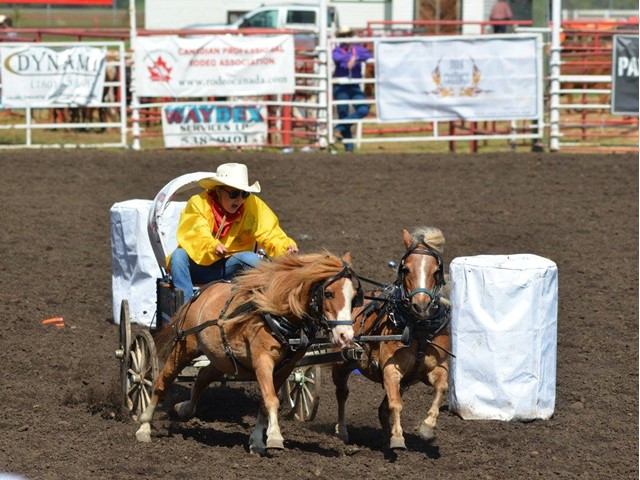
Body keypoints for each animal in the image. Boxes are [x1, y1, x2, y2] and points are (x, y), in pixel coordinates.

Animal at [135, 251, 362, 455]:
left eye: (354, 297)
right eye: (329, 293)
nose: (346, 335)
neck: (278, 314)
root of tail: (202, 292)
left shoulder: (285, 368)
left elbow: (264, 401)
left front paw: (257, 441)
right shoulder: (263, 361)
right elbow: (271, 399)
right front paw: (274, 437)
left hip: (221, 359)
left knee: (202, 376)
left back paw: (184, 408)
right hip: (185, 347)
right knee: (162, 381)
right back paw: (144, 426)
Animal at [332, 227, 451, 450]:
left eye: (436, 271)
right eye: (406, 269)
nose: (421, 305)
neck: (417, 329)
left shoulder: (436, 367)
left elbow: (442, 388)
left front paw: (427, 428)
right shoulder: (390, 370)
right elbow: (396, 404)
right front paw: (397, 438)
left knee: (382, 408)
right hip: (341, 364)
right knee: (342, 393)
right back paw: (342, 431)